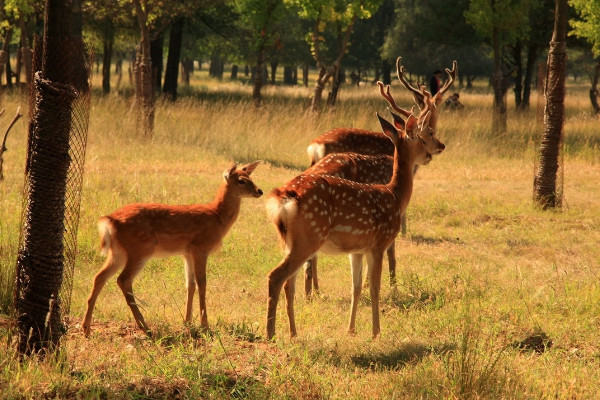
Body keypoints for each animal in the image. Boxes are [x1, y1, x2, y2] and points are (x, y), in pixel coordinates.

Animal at [82, 161, 262, 336]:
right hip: (140, 249)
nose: (260, 191)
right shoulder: (201, 247)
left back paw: (86, 328)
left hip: (118, 252)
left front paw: (188, 322)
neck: (216, 217)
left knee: (99, 277)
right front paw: (205, 326)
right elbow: (202, 283)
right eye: (241, 180)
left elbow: (190, 284)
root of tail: (110, 220)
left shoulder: (187, 252)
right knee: (123, 279)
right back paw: (145, 327)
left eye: (250, 177)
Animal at [266, 110, 432, 340]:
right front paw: (376, 333)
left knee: (289, 283)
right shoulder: (378, 243)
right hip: (309, 236)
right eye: (422, 139)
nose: (429, 155)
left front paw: (351, 330)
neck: (395, 196)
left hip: (290, 242)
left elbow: (356, 288)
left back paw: (293, 333)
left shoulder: (357, 250)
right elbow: (374, 288)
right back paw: (271, 334)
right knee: (276, 277)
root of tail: (284, 197)